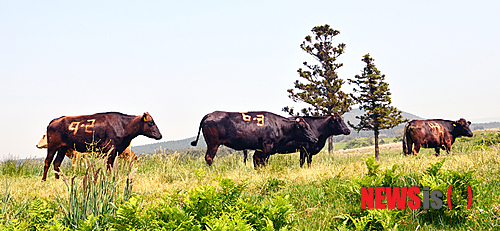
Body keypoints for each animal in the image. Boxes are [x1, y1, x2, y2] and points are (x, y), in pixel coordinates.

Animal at [189, 111, 318, 167]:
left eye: (309, 126)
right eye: (304, 127)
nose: (315, 139)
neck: (278, 125)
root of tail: (210, 114)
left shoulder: (259, 148)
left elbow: (257, 160)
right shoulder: (267, 146)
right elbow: (263, 161)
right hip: (213, 143)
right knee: (209, 158)